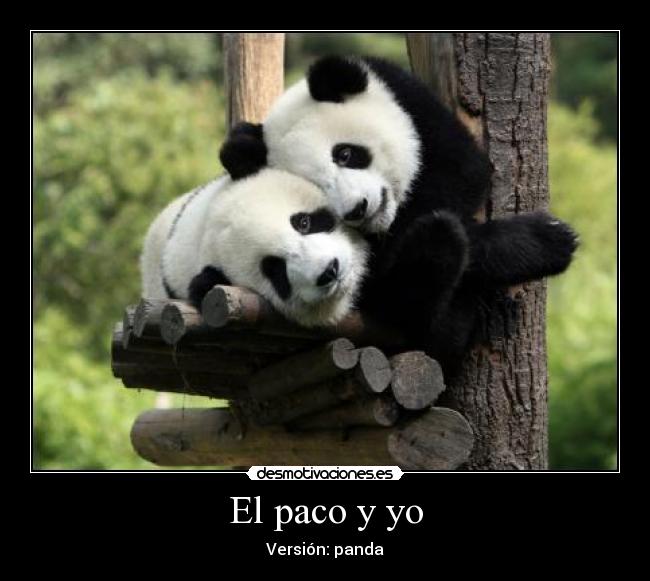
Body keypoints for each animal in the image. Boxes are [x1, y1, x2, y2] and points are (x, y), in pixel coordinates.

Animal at [219, 55, 579, 373]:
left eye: (345, 154)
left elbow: (463, 172)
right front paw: (547, 241)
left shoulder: (412, 103)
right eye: (319, 187)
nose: (358, 208)